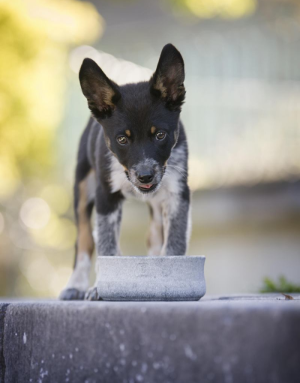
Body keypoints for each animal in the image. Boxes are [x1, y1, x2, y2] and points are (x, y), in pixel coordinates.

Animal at [59, 44, 191, 304]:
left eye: (160, 135)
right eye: (122, 139)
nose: (145, 176)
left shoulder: (178, 192)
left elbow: (174, 242)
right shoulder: (106, 196)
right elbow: (106, 248)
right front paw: (100, 289)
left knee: (153, 234)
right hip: (83, 186)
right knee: (84, 240)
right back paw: (75, 285)